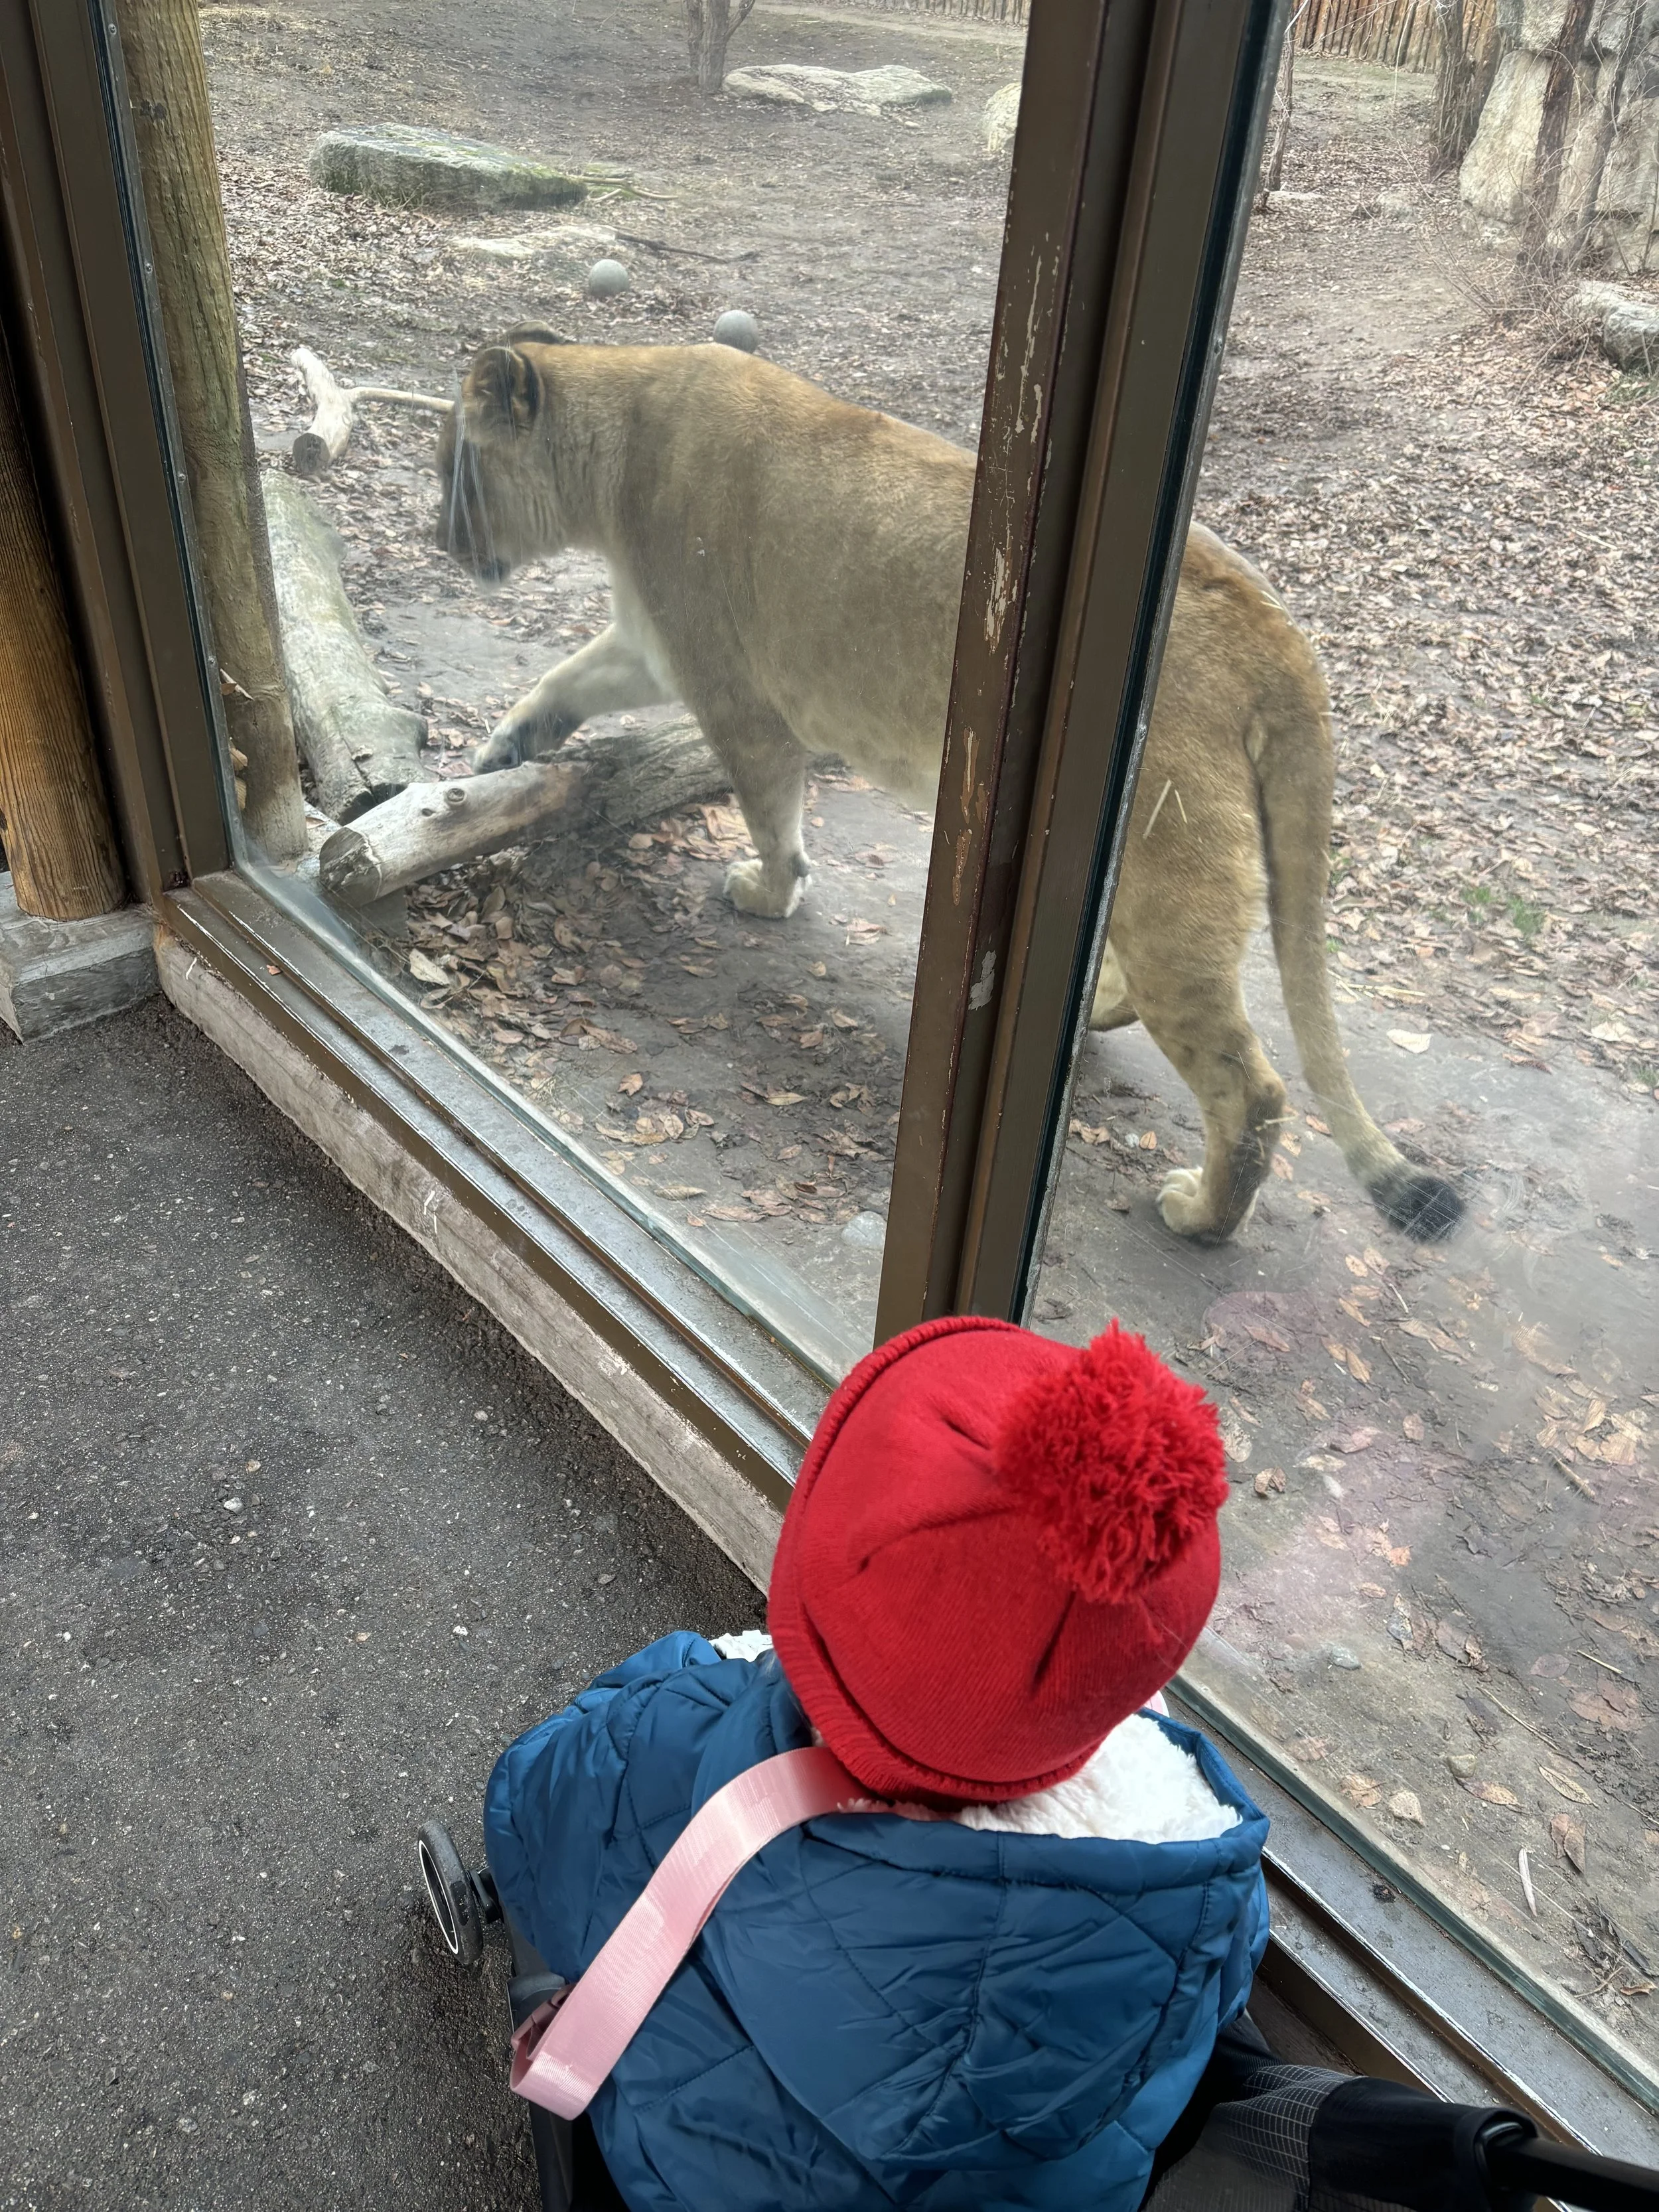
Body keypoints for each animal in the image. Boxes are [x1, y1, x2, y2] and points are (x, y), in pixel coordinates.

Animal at [435, 334, 1461, 1247]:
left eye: (454, 469)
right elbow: (560, 681)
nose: (434, 536)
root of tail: (1279, 630)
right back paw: (1097, 1019)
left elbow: (769, 808)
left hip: (1174, 878)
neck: (610, 449)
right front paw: (498, 755)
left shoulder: (734, 693)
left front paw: (768, 891)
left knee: (1252, 1089)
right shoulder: (651, 645)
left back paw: (1201, 1216)